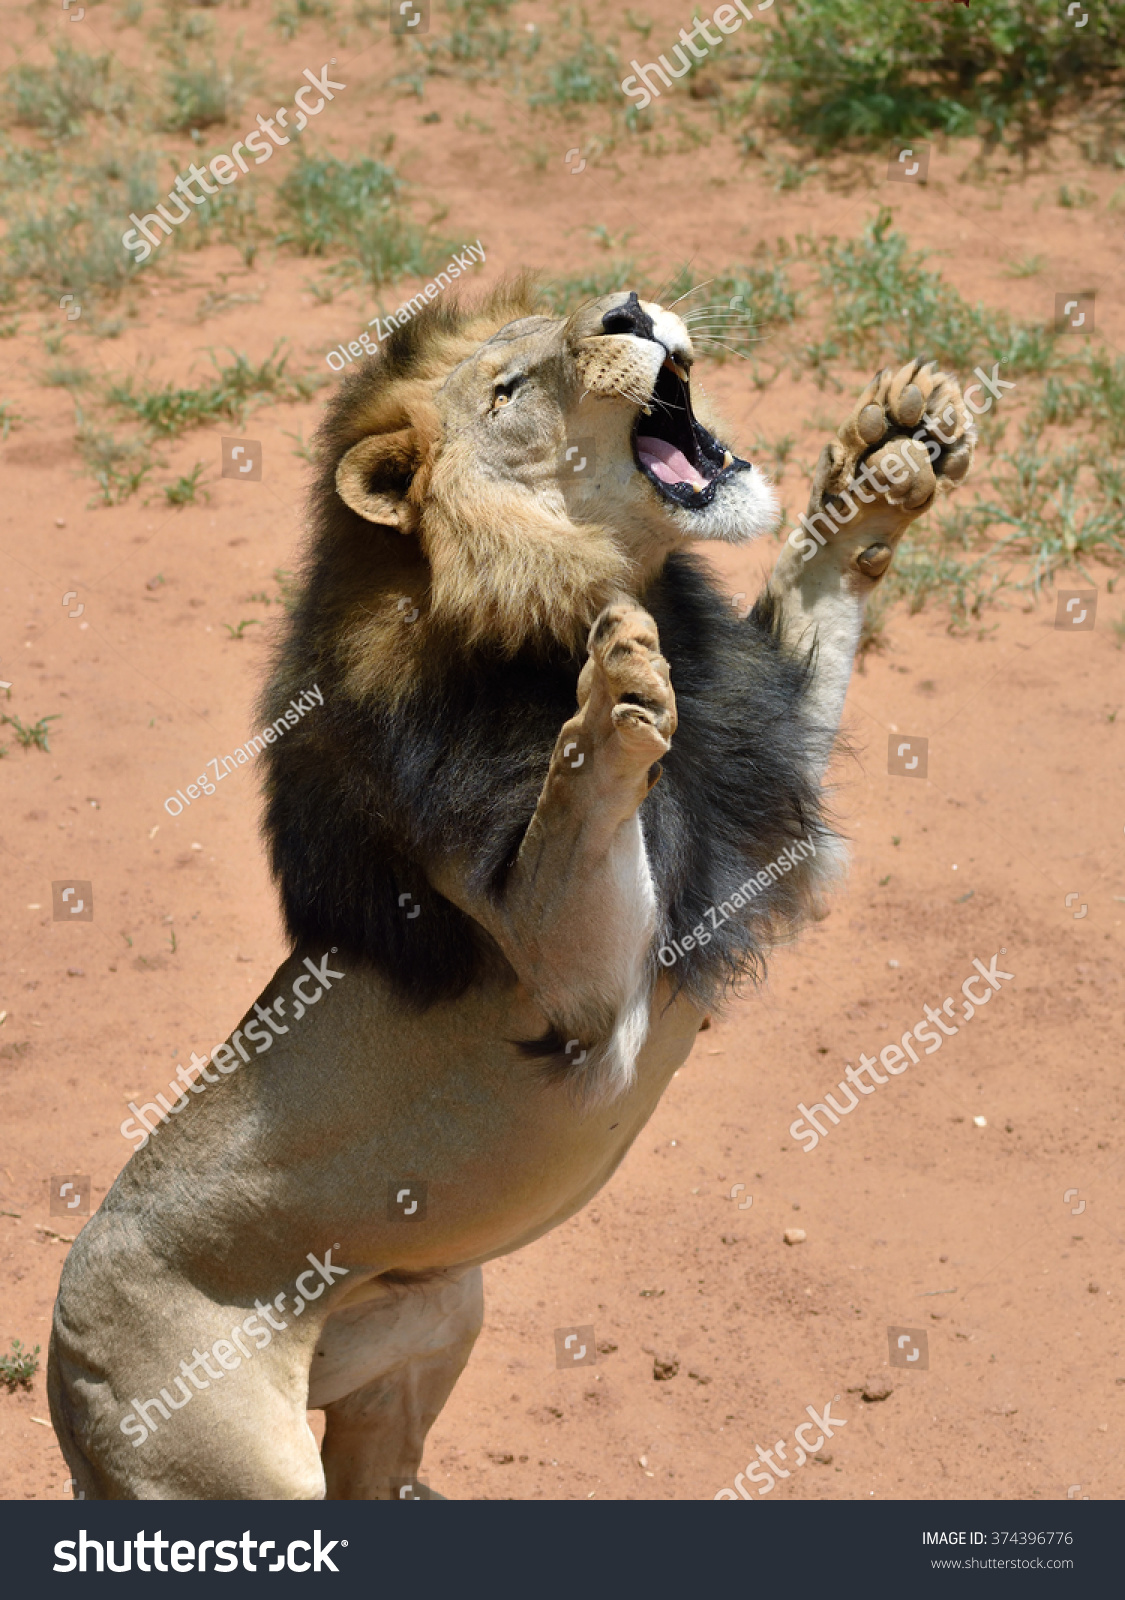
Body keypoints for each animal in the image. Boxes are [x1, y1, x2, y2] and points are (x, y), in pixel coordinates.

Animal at [48, 278, 972, 1497]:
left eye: (584, 312)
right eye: (509, 387)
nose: (630, 307)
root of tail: (60, 1368)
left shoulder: (755, 782)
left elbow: (812, 587)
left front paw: (892, 449)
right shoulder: (582, 992)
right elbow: (571, 816)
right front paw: (611, 687)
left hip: (436, 1318)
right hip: (215, 1454)